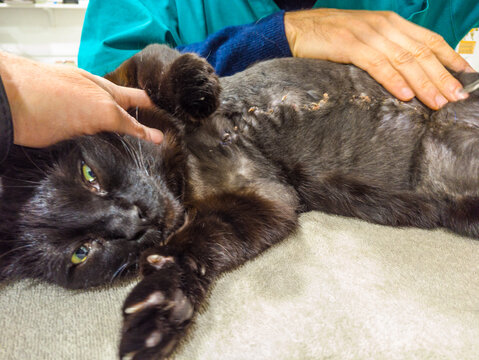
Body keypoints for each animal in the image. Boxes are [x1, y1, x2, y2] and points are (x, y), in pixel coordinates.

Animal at [0, 45, 479, 360]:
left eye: (89, 177)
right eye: (81, 252)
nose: (134, 223)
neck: (185, 174)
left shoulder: (113, 85)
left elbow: (158, 64)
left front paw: (198, 89)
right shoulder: (261, 202)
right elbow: (193, 250)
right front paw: (157, 314)